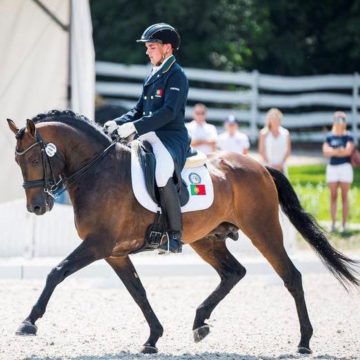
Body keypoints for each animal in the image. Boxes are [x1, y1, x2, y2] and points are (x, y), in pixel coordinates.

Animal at [6, 110, 360, 354]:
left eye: (36, 157)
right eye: (17, 162)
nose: (36, 207)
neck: (97, 170)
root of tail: (259, 165)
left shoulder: (98, 244)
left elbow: (57, 272)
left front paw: (28, 322)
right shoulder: (115, 253)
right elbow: (138, 292)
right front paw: (153, 337)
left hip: (263, 229)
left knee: (290, 276)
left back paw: (304, 341)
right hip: (207, 239)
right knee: (234, 272)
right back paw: (200, 322)